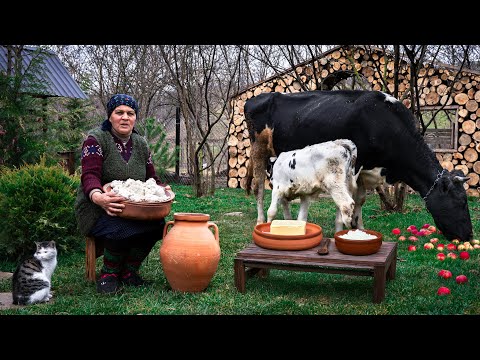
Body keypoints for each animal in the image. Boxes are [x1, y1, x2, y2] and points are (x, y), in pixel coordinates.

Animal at [246, 90, 474, 242]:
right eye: (462, 202)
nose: (469, 235)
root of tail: (256, 98)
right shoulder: (354, 169)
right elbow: (349, 199)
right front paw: (344, 228)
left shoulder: (365, 171)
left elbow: (360, 201)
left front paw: (360, 228)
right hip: (258, 150)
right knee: (258, 187)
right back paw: (260, 222)